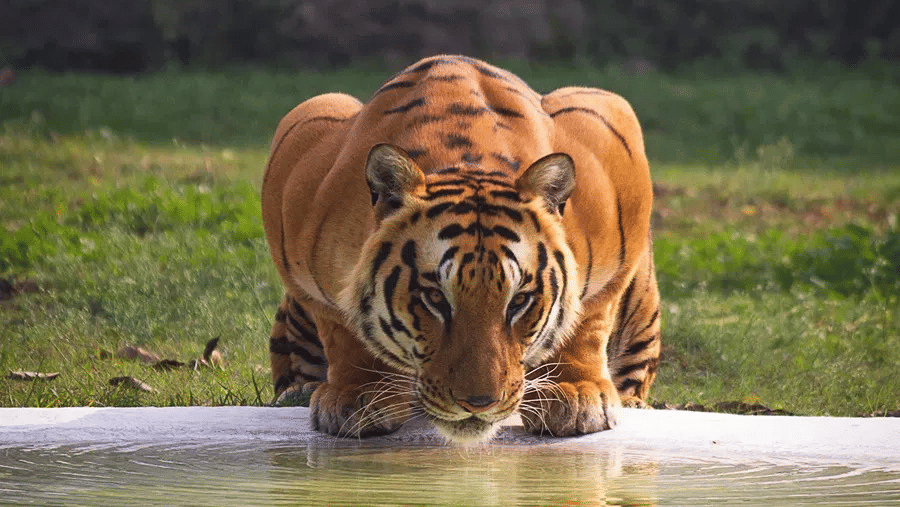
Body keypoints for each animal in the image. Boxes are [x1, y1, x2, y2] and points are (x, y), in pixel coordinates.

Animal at [262, 55, 661, 443]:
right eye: (435, 298)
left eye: (519, 301)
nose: (479, 403)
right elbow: (341, 327)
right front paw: (358, 394)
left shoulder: (613, 139)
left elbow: (588, 317)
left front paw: (575, 393)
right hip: (320, 106)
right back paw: (299, 392)